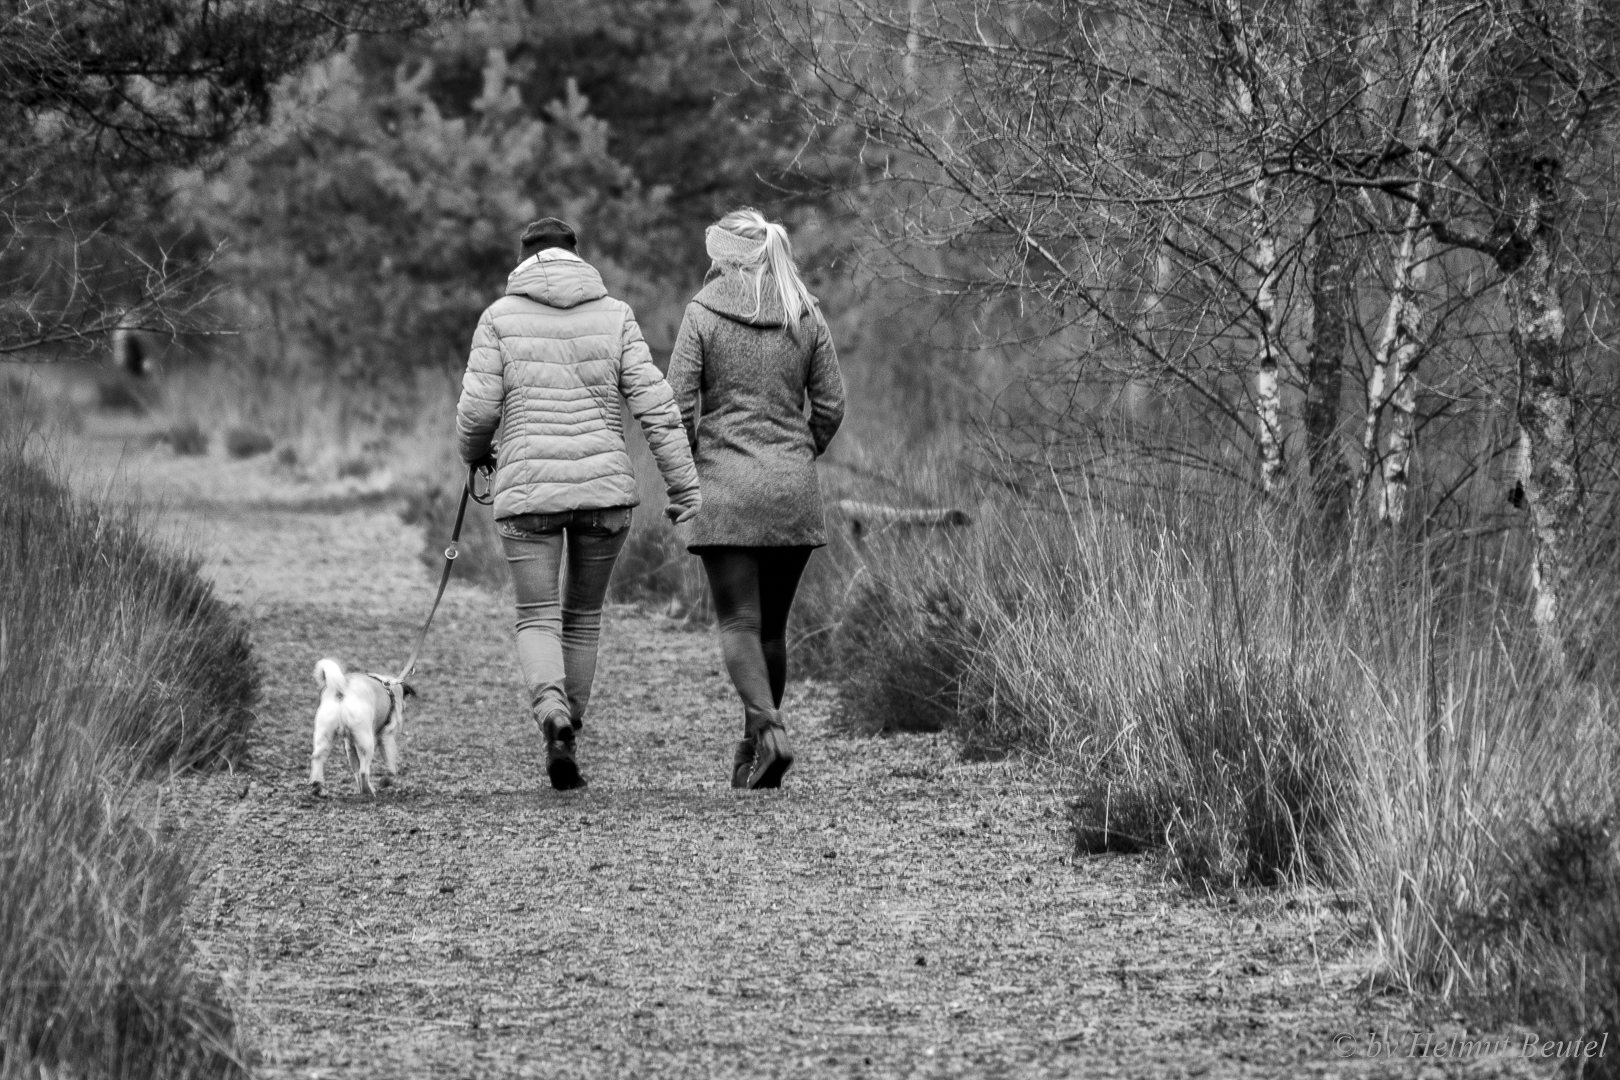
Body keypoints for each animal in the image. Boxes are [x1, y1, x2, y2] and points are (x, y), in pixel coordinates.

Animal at [309, 654, 411, 799]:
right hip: (366, 743)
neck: (390, 687)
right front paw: (387, 779)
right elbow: (390, 764)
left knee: (318, 758)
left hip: (324, 736)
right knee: (364, 771)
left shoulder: (350, 745)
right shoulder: (387, 737)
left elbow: (356, 770)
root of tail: (341, 690)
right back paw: (370, 791)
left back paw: (317, 786)